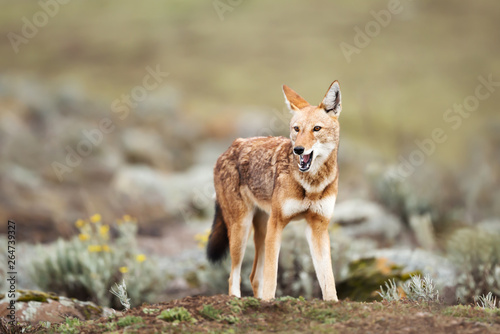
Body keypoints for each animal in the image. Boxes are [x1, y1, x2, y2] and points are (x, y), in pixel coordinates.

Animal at [205, 80, 342, 300]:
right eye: (296, 129)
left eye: (316, 129)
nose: (298, 150)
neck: (311, 185)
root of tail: (230, 147)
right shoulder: (277, 224)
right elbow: (272, 276)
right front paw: (270, 302)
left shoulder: (318, 227)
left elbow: (328, 280)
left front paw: (332, 303)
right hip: (242, 230)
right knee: (234, 276)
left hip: (261, 229)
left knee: (253, 277)